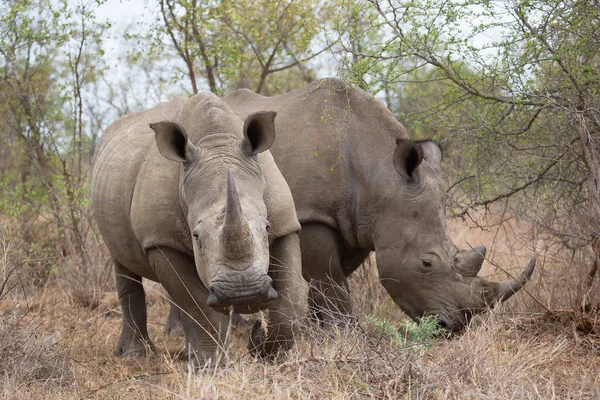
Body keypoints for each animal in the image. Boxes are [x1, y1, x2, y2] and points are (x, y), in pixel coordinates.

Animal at [91, 92, 308, 364]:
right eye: (196, 237)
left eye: (266, 228)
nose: (244, 293)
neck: (217, 143)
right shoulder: (160, 239)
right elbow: (198, 304)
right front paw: (210, 364)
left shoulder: (285, 223)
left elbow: (291, 298)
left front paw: (264, 350)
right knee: (124, 263)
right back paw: (134, 354)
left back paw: (185, 352)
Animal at [221, 78, 536, 332]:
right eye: (426, 263)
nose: (453, 327)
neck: (379, 175)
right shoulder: (311, 215)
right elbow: (330, 279)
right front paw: (345, 335)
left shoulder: (359, 222)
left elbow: (332, 278)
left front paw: (317, 331)